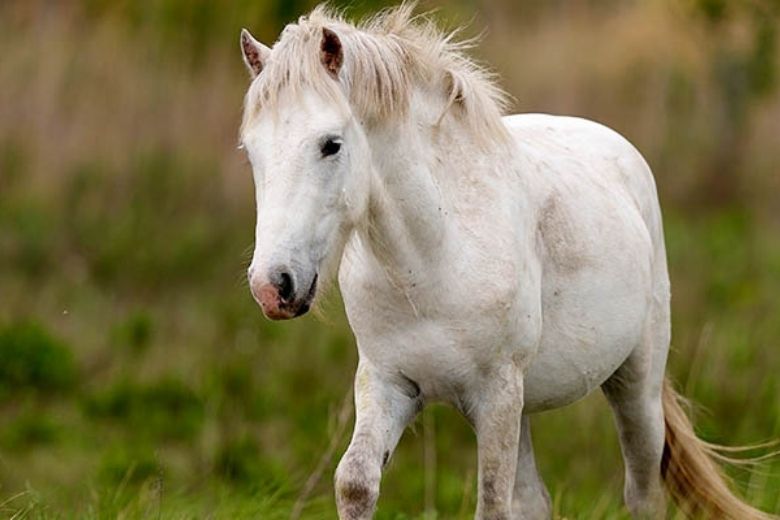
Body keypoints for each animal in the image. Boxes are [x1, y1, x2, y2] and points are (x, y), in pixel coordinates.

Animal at [238, 5, 772, 520]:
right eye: (251, 151)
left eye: (331, 144)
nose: (272, 286)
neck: (430, 262)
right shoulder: (388, 383)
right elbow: (355, 483)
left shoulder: (495, 394)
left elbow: (493, 502)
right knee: (536, 502)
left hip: (634, 384)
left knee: (642, 494)